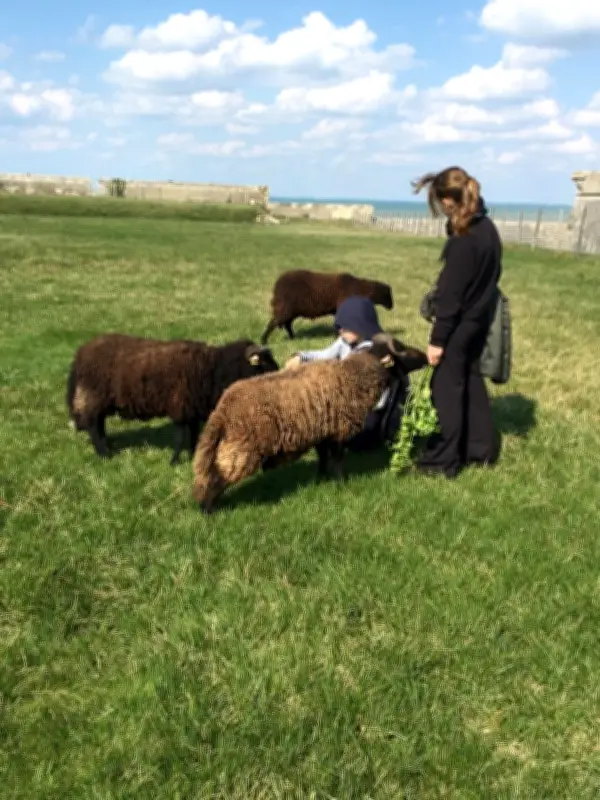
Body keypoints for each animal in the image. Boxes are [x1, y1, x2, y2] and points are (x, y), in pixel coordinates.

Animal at [66, 333, 279, 465]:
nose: (279, 372)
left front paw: (192, 454)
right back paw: (104, 453)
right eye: (264, 363)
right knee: (93, 425)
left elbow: (194, 434)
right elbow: (180, 437)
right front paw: (174, 461)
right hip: (93, 395)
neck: (214, 368)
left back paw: (107, 446)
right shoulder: (180, 405)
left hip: (100, 399)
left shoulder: (193, 408)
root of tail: (80, 354)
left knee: (99, 423)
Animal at [192, 333, 427, 513]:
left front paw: (320, 479)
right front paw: (341, 483)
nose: (426, 356)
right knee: (220, 475)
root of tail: (223, 409)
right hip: (243, 445)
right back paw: (208, 510)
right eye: (401, 349)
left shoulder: (322, 431)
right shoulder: (338, 430)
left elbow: (323, 458)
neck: (354, 376)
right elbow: (338, 459)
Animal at [260, 269, 394, 344]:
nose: (392, 307)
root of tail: (277, 286)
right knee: (273, 323)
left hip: (291, 310)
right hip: (285, 308)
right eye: (387, 294)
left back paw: (293, 338)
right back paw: (264, 340)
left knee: (287, 324)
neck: (359, 289)